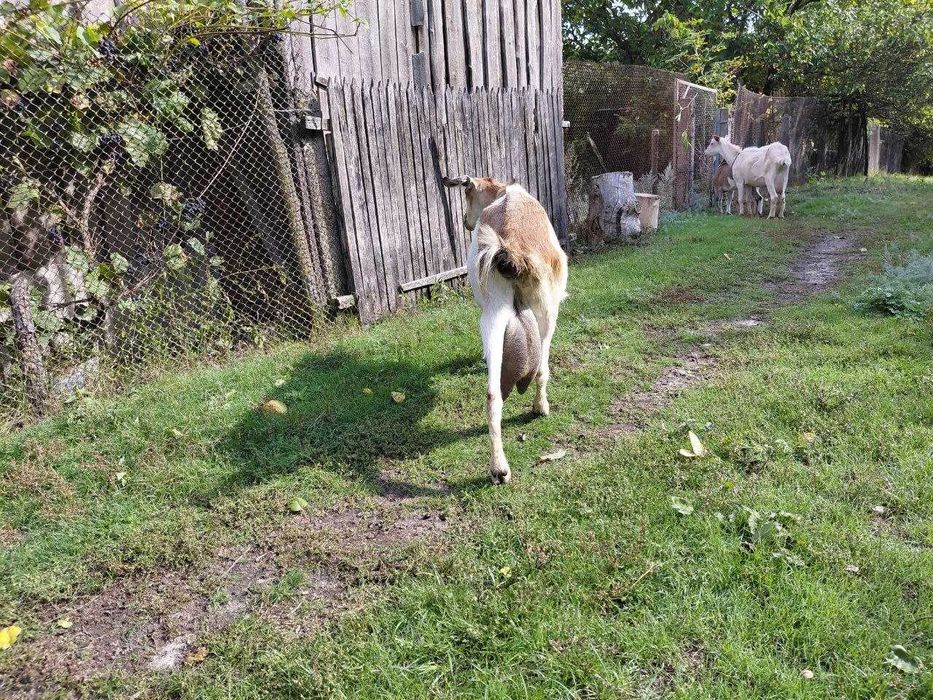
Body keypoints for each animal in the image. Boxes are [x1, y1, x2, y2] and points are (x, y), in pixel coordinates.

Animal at [443, 175, 568, 484]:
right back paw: (540, 408)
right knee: (542, 369)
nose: (466, 222)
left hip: (493, 315)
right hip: (547, 310)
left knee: (492, 395)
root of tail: (511, 250)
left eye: (467, 194)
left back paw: (498, 468)